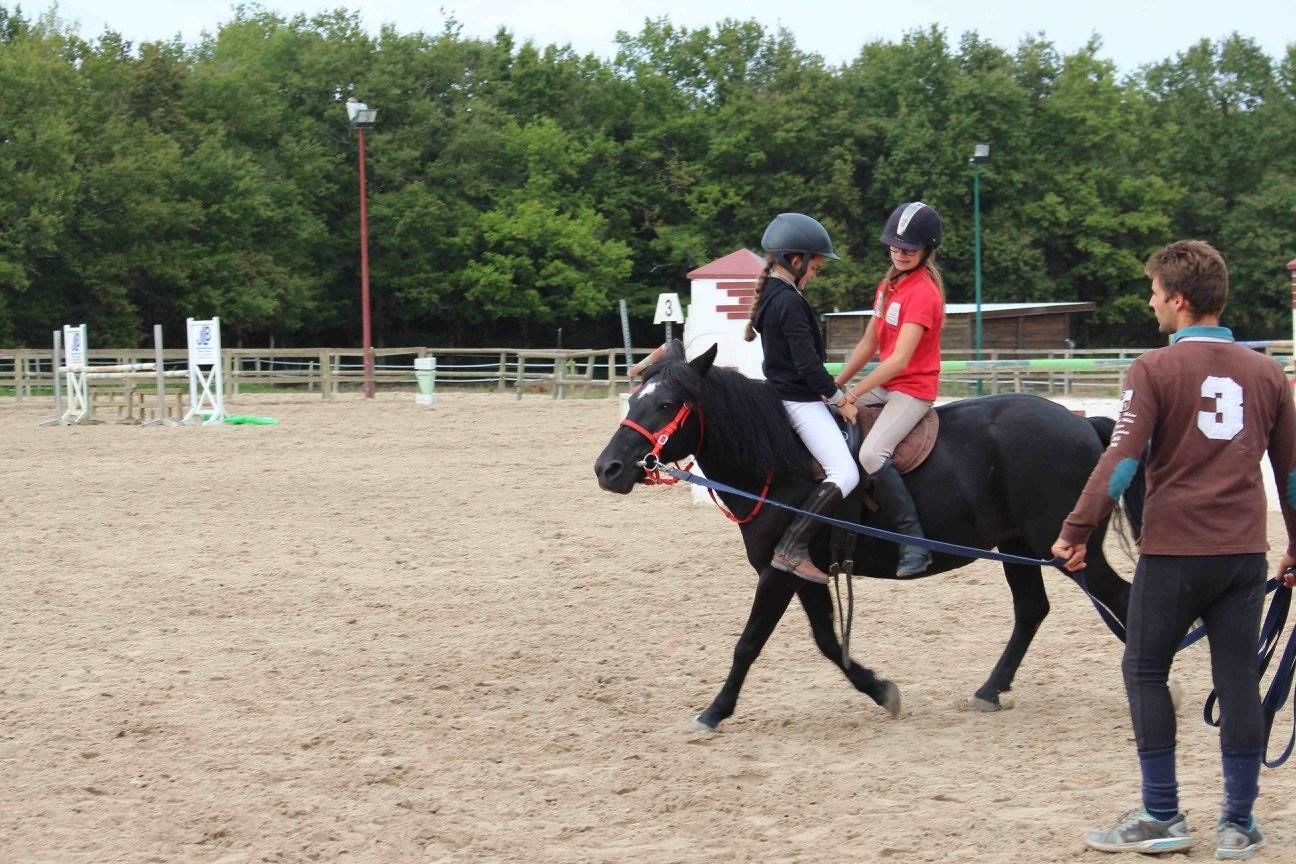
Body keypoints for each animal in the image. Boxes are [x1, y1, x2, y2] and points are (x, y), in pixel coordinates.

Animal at [594, 341, 1142, 731]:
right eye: (634, 398)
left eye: (667, 404)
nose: (608, 468)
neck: (780, 463)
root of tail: (1083, 425)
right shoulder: (803, 573)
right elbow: (827, 642)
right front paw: (880, 690)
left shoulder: (777, 573)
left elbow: (748, 642)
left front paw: (715, 710)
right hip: (1019, 547)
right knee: (1032, 610)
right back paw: (990, 689)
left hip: (1065, 549)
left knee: (1124, 599)